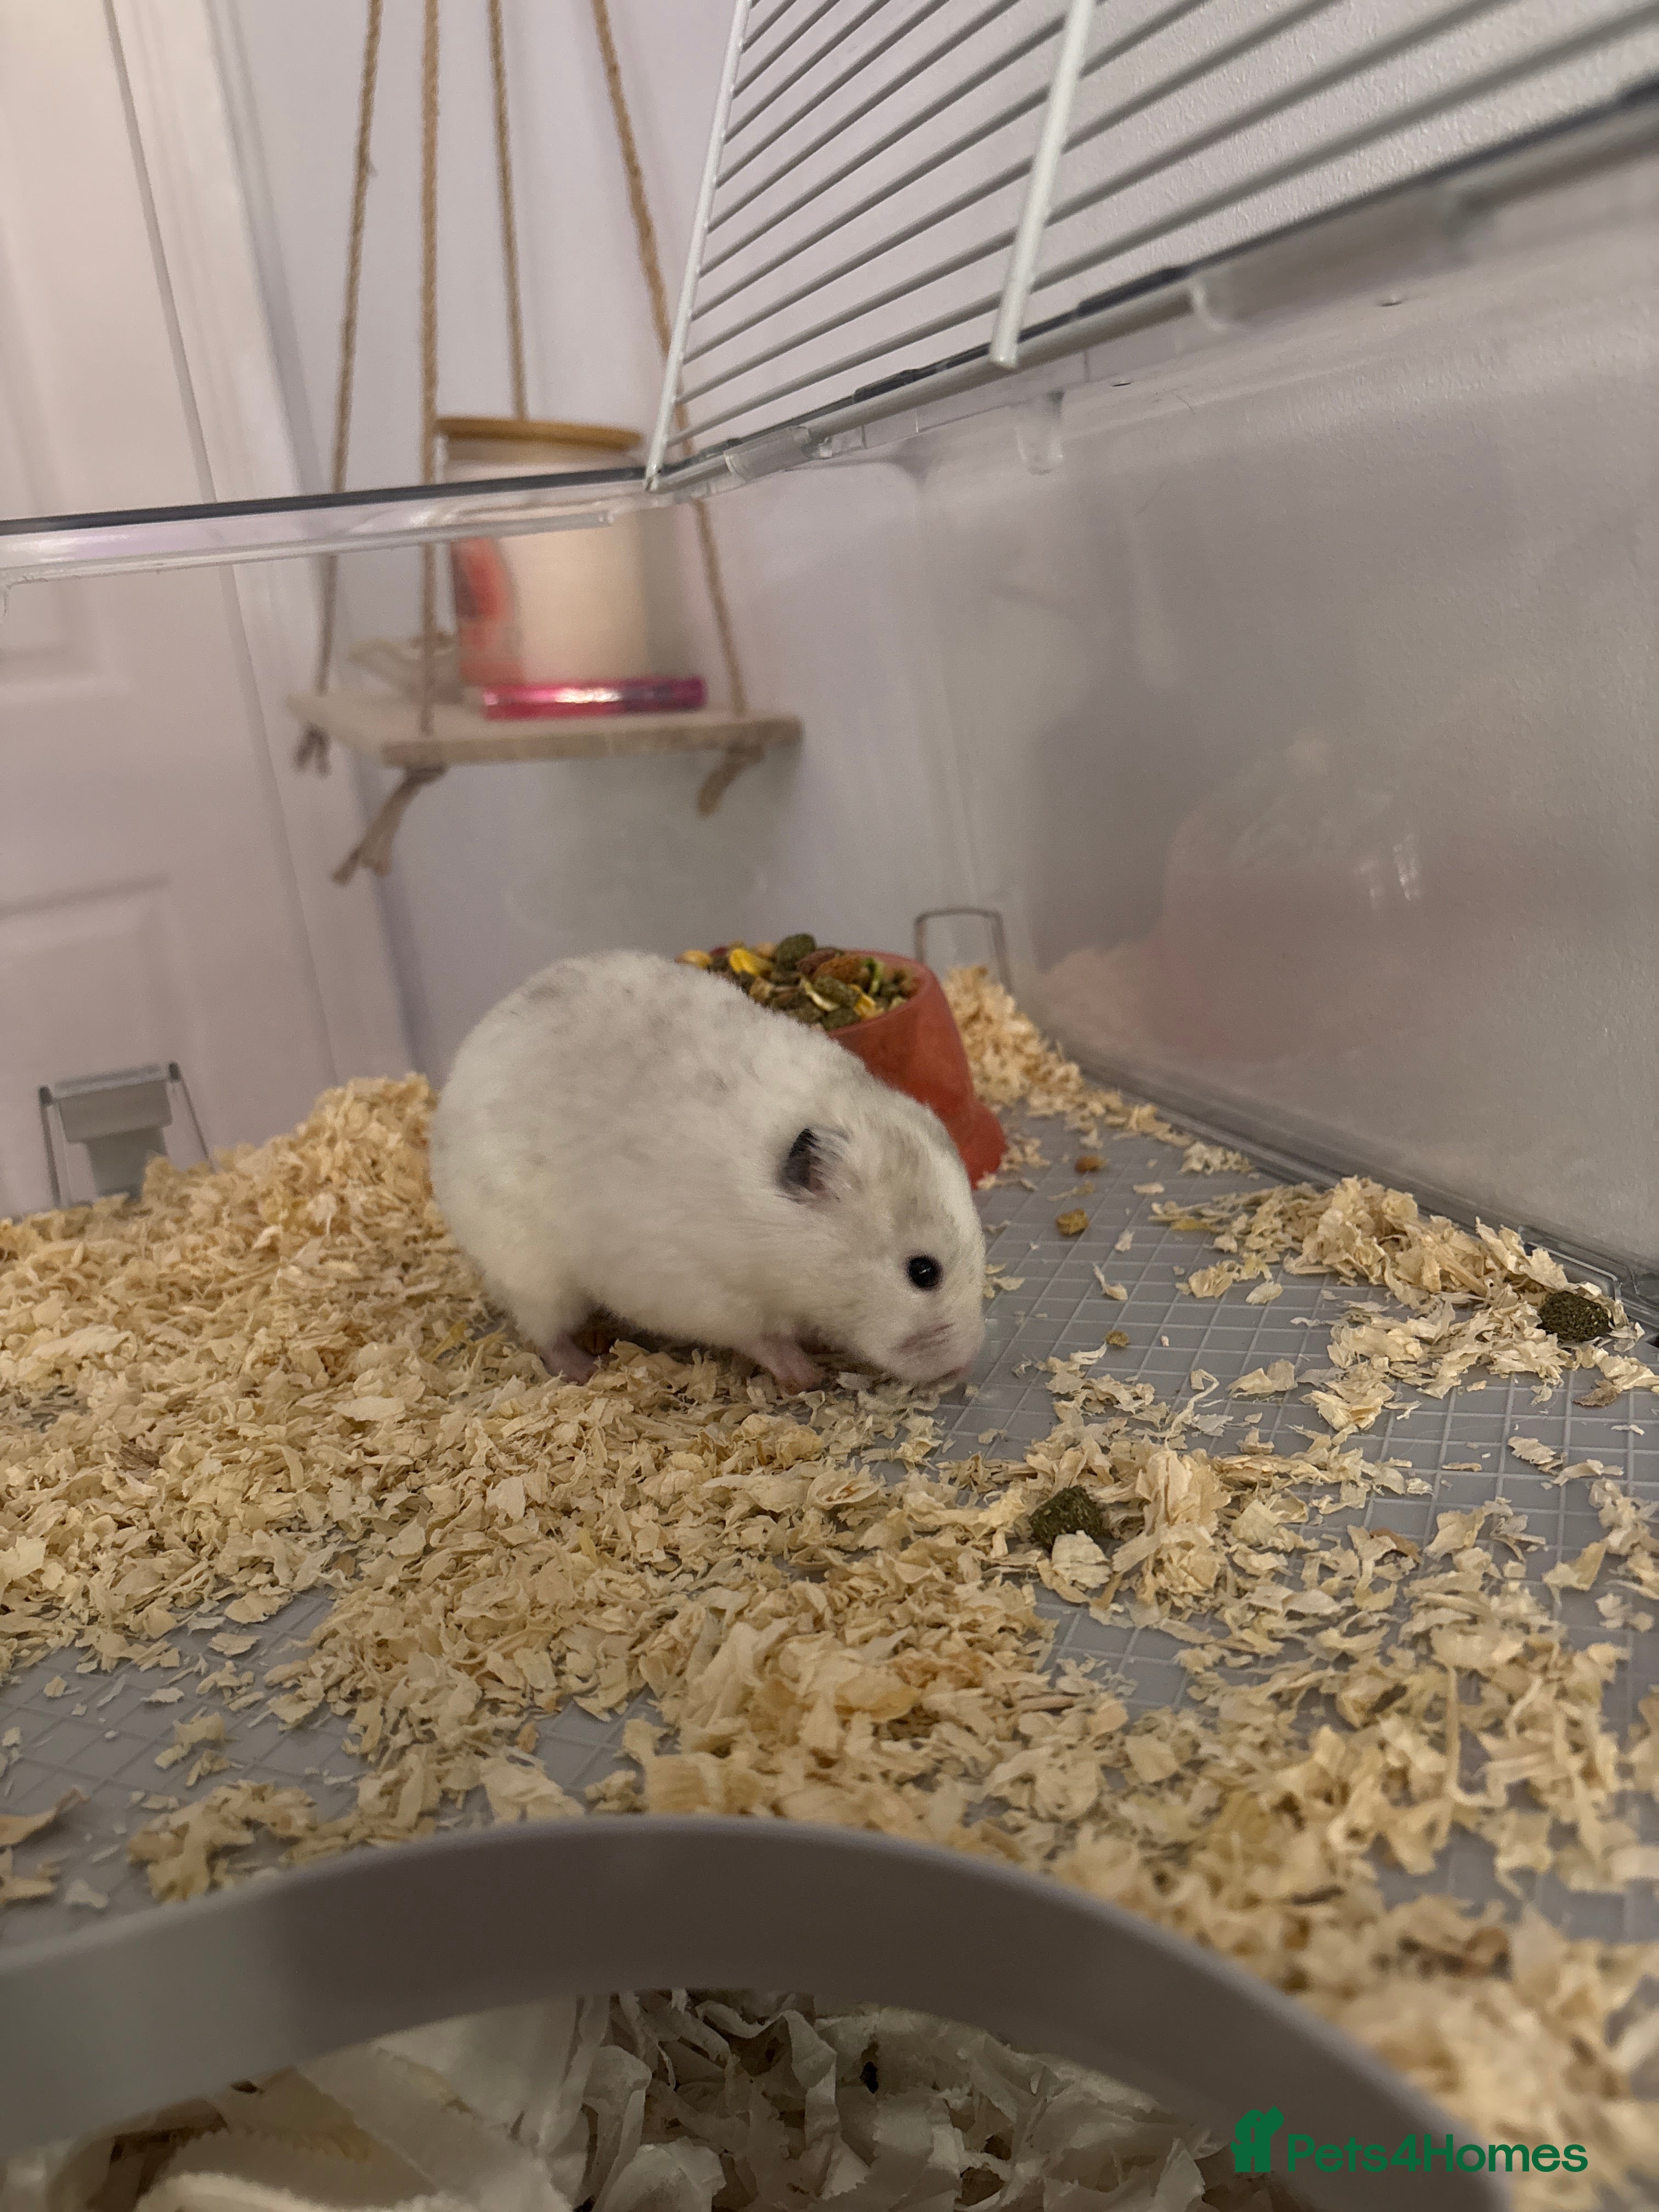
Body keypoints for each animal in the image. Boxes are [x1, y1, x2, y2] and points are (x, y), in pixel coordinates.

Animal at [428, 950, 987, 1392]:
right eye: (923, 1272)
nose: (962, 1368)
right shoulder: (700, 1292)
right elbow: (760, 1337)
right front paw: (807, 1375)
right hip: (529, 1270)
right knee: (544, 1332)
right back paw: (585, 1369)